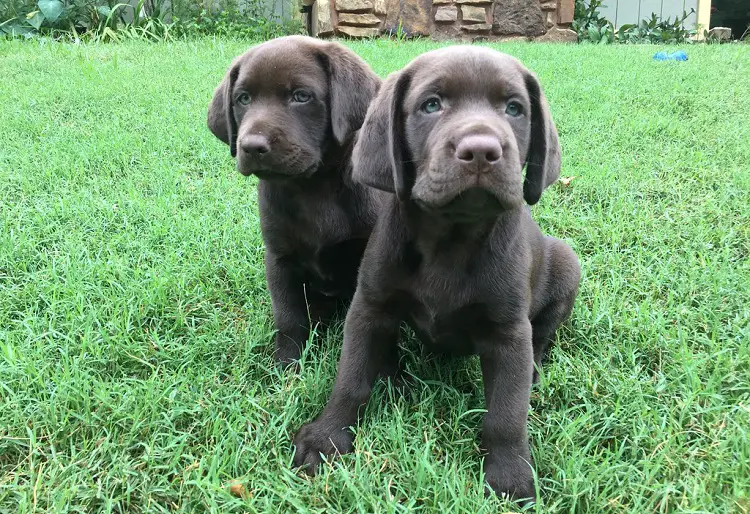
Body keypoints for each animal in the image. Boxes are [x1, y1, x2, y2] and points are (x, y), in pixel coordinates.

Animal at [207, 36, 384, 362]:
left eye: (301, 96)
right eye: (243, 99)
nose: (251, 146)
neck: (312, 188)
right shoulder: (280, 259)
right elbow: (288, 317)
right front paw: (287, 365)